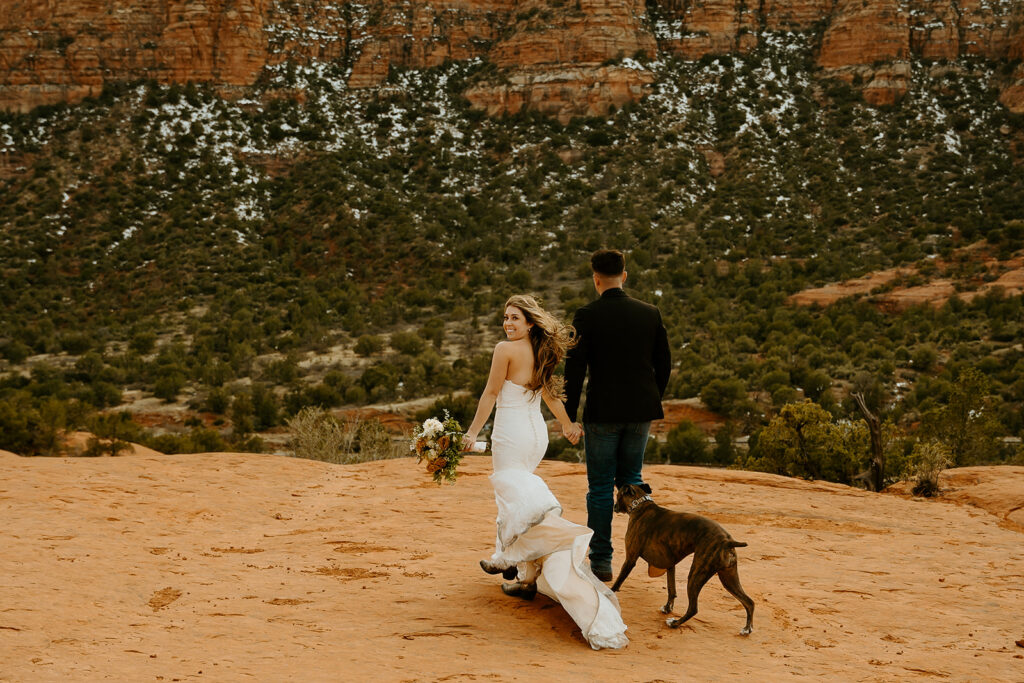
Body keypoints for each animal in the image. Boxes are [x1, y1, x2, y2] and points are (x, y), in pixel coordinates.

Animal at [606, 483, 753, 634]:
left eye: (618, 494)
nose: (614, 506)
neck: (641, 505)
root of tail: (727, 541)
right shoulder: (670, 565)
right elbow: (672, 590)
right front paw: (667, 608)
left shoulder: (630, 559)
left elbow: (618, 582)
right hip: (728, 578)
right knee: (749, 602)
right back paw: (747, 629)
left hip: (696, 575)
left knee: (693, 608)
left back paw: (675, 623)